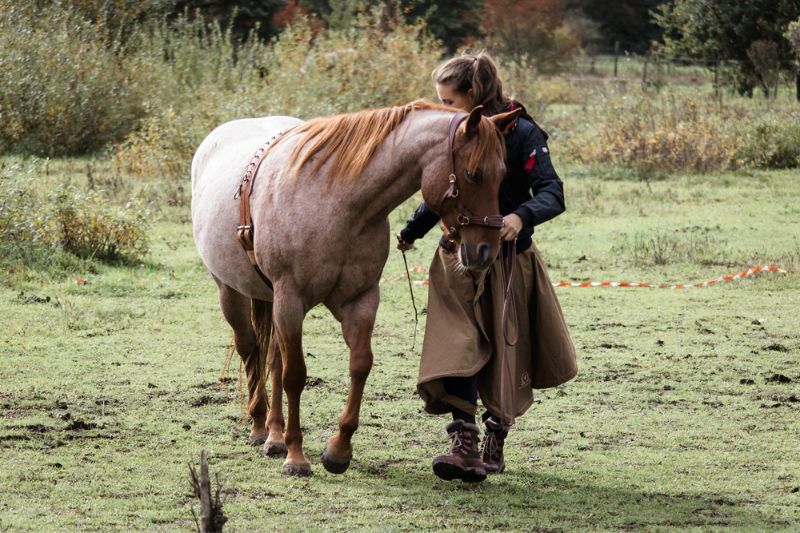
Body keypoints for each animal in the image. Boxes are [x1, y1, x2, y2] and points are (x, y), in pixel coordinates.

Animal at [191, 101, 520, 478]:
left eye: (503, 175)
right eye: (474, 174)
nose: (485, 251)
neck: (338, 203)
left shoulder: (360, 301)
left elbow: (359, 365)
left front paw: (338, 449)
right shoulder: (291, 300)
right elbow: (295, 374)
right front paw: (297, 456)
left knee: (272, 357)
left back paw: (274, 434)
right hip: (232, 292)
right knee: (251, 351)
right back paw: (261, 427)